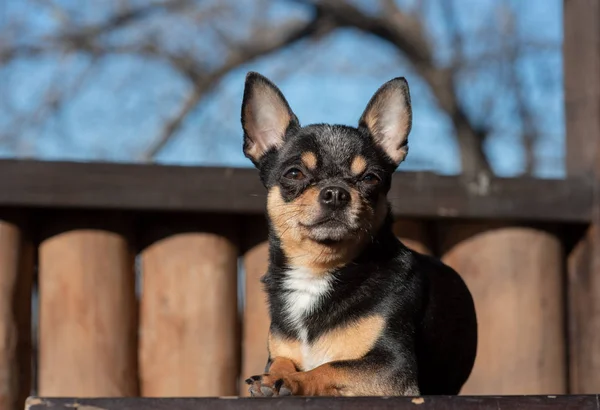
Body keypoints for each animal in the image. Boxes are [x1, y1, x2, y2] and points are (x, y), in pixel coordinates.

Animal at [241, 72, 476, 396]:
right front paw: (276, 376)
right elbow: (281, 361)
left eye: (370, 178)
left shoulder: (393, 367)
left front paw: (291, 380)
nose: (336, 193)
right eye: (294, 173)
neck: (318, 272)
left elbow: (329, 366)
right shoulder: (278, 353)